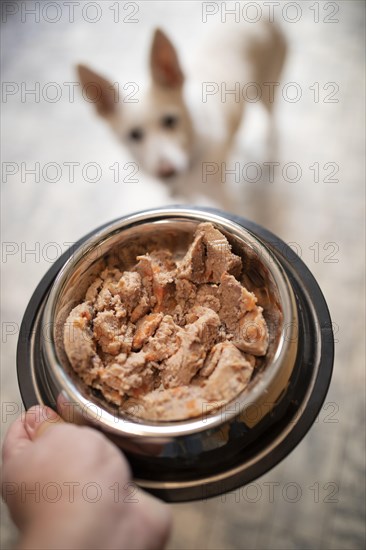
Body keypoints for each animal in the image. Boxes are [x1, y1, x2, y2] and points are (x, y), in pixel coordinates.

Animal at [78, 21, 288, 211]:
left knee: (272, 120)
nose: (166, 171)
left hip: (267, 90)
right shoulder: (187, 196)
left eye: (170, 120)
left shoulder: (225, 199)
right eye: (134, 135)